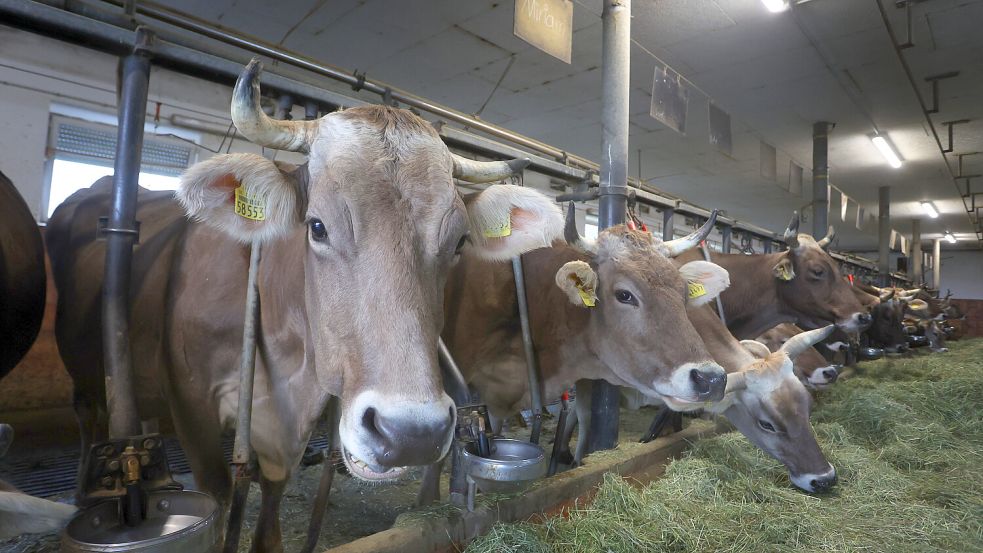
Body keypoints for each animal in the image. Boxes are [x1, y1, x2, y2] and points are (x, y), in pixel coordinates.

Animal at [47, 59, 566, 552]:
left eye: (458, 242)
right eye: (317, 226)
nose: (411, 434)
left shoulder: (289, 424)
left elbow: (272, 507)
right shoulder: (191, 404)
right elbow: (217, 494)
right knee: (87, 413)